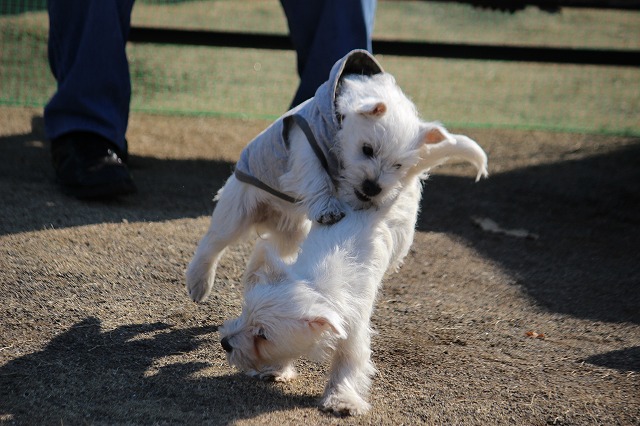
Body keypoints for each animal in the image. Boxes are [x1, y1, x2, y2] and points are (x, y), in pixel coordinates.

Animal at [218, 111, 488, 414]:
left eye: (263, 335)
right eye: (245, 313)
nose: (225, 343)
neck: (320, 282)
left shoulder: (355, 334)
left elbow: (347, 367)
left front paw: (341, 399)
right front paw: (277, 369)